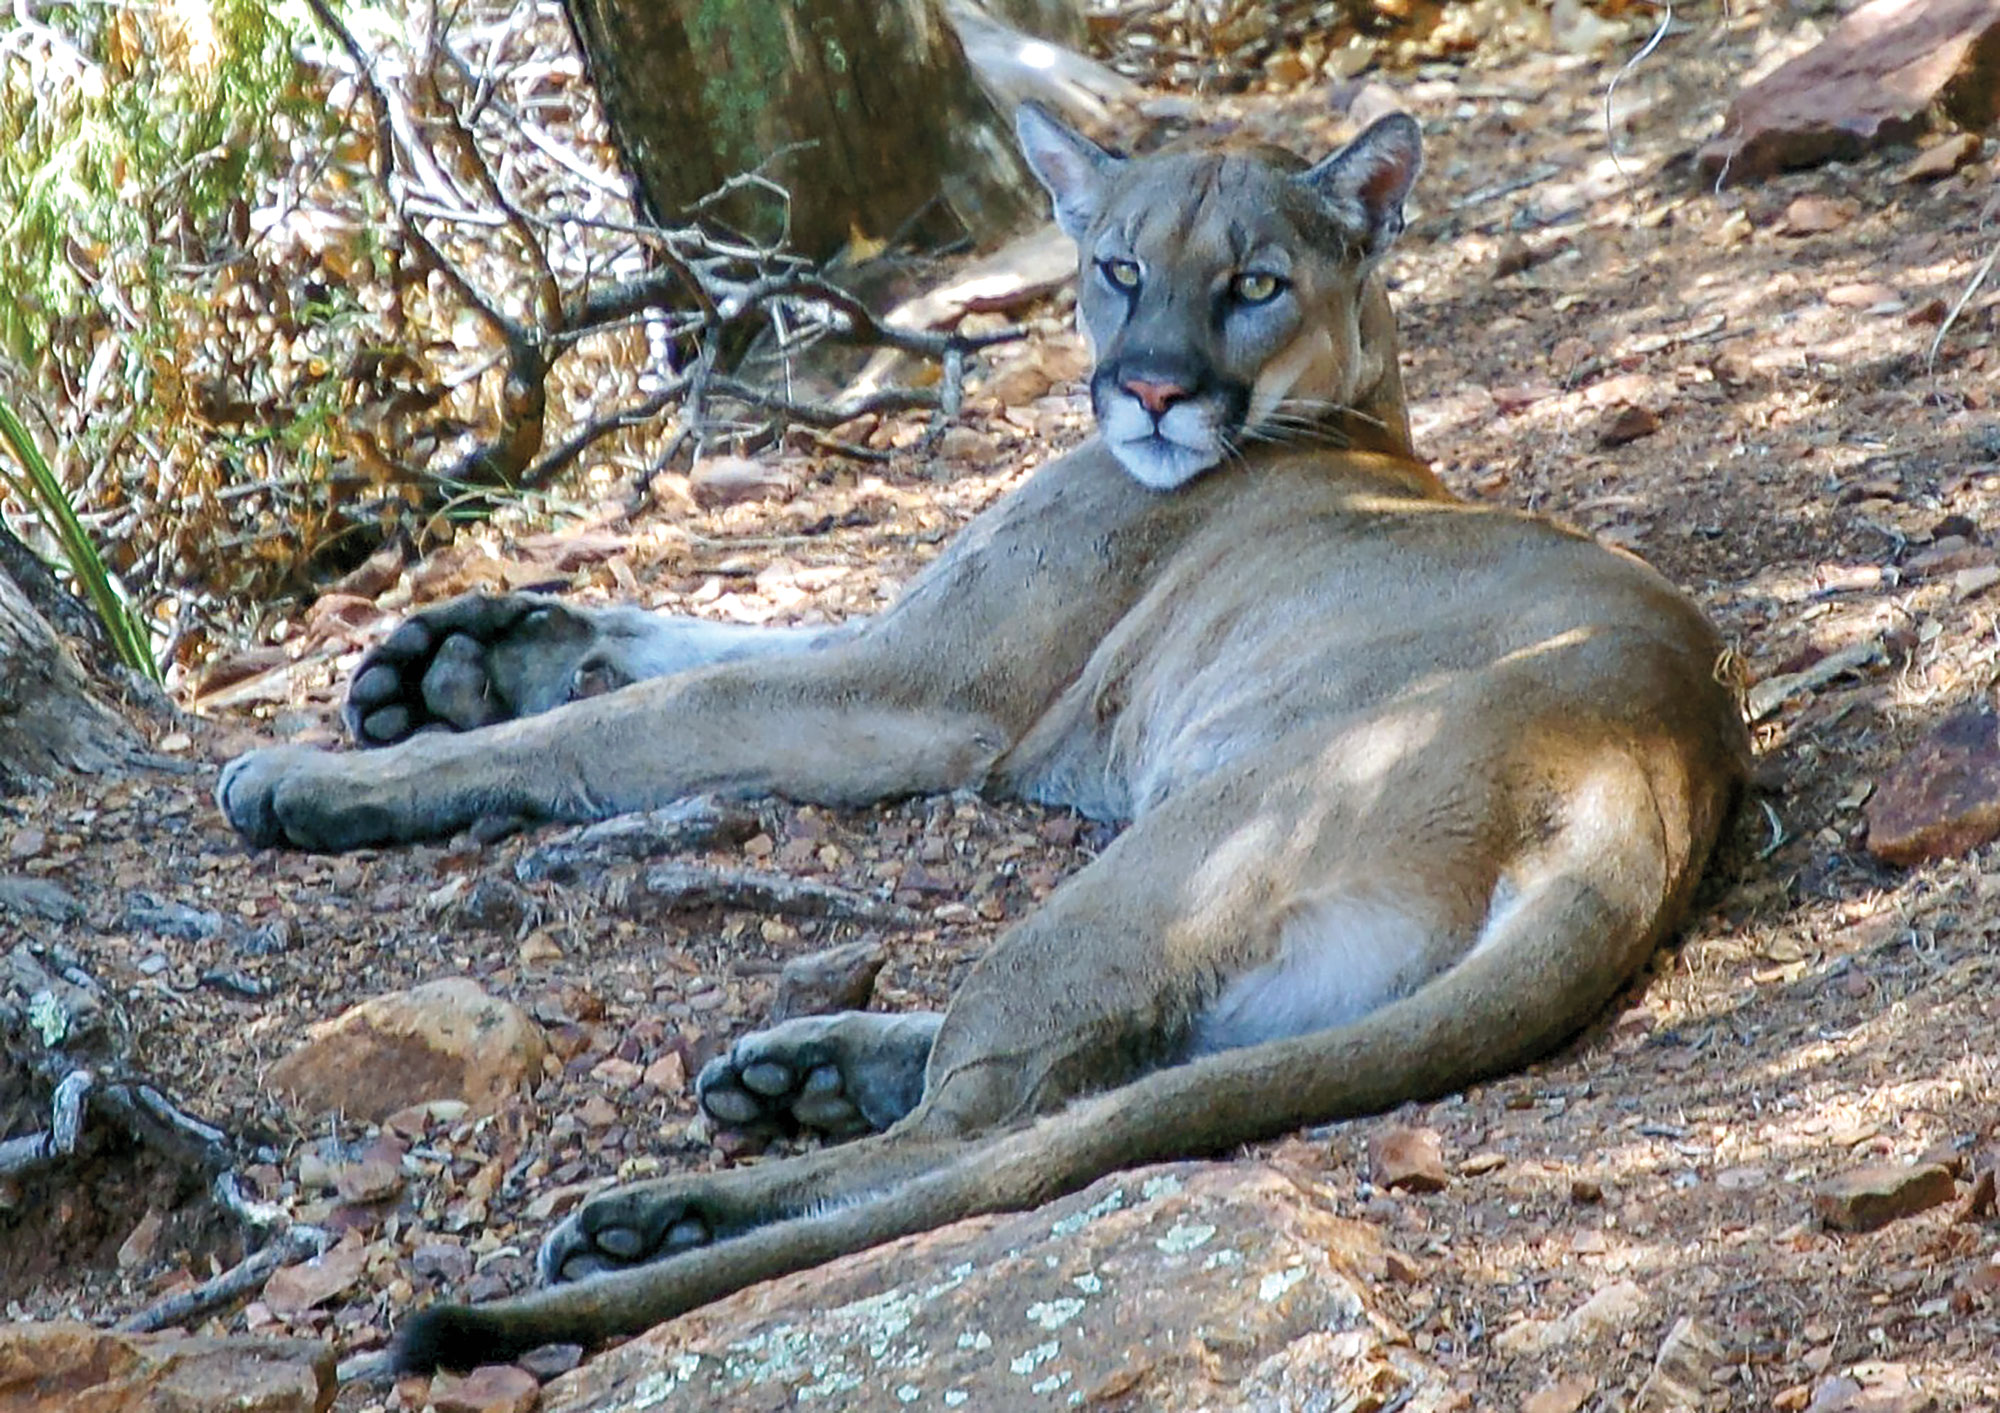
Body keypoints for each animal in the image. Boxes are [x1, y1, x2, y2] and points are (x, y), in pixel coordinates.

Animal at [219, 102, 1744, 1360]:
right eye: (1119, 270)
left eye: (1253, 285)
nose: (1151, 391)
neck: (1357, 425)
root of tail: (1651, 766)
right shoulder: (901, 648)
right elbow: (690, 640)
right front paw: (453, 657)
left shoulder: (927, 689)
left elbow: (661, 708)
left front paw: (322, 770)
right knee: (1081, 1079)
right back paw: (793, 1070)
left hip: (1168, 859)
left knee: (970, 1136)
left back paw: (670, 1211)